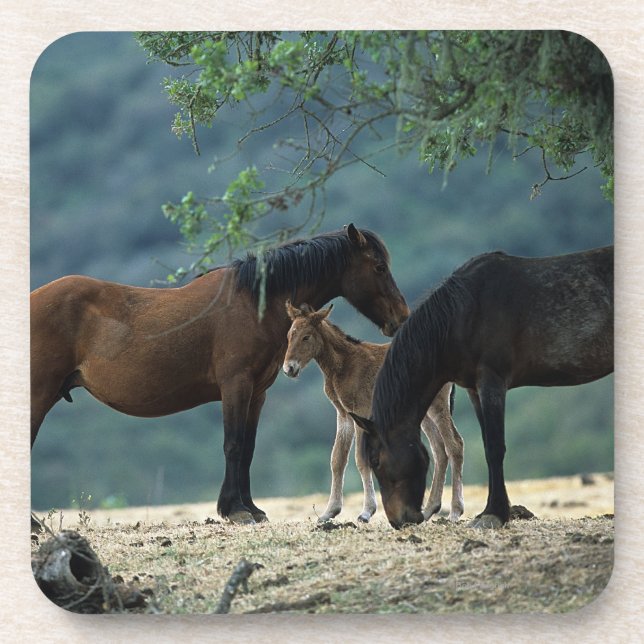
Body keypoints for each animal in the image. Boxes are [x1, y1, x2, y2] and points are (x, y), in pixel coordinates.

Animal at [30, 224, 410, 524]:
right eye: (378, 266)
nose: (402, 317)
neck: (253, 303)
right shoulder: (235, 385)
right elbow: (233, 444)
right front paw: (235, 510)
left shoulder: (257, 393)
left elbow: (248, 447)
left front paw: (251, 508)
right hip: (39, 394)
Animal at [283, 301, 464, 524]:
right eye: (289, 335)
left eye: (306, 336)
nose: (289, 369)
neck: (343, 365)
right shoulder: (343, 415)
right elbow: (337, 459)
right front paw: (329, 512)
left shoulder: (360, 412)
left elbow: (361, 459)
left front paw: (366, 512)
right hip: (424, 412)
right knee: (439, 449)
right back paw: (430, 509)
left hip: (437, 406)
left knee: (454, 444)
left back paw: (455, 511)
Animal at [351, 245, 613, 529]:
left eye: (375, 460)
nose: (399, 520)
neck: (463, 314)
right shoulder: (475, 389)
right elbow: (488, 441)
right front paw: (496, 509)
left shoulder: (492, 381)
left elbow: (494, 448)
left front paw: (493, 514)